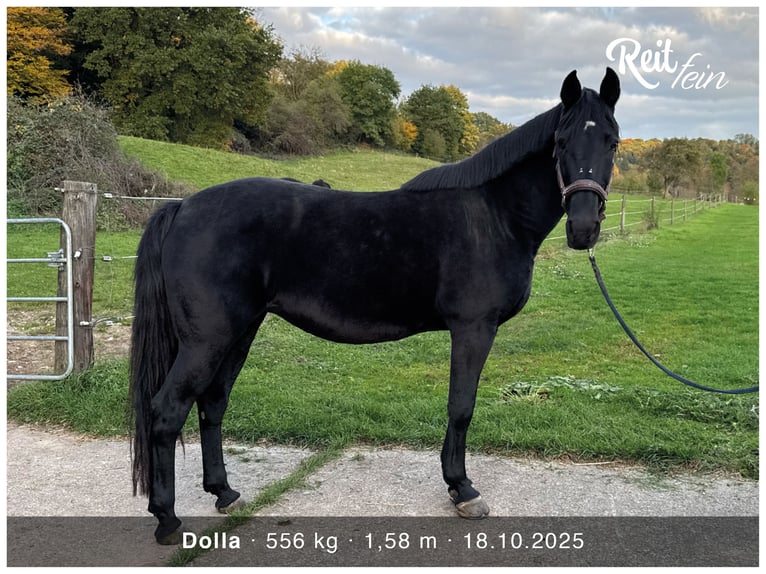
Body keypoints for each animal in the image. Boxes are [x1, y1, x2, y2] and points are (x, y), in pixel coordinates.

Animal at [130, 68, 620, 544]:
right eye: (561, 142)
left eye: (612, 141)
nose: (583, 229)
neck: (493, 216)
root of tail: (182, 206)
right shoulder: (474, 328)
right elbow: (461, 407)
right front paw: (462, 489)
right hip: (207, 339)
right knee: (167, 411)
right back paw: (167, 519)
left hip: (239, 331)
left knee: (212, 403)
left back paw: (225, 493)